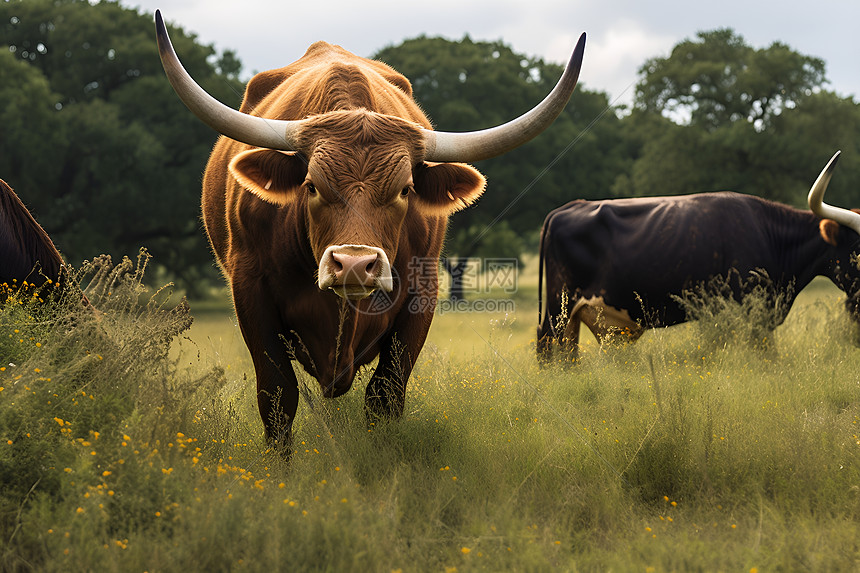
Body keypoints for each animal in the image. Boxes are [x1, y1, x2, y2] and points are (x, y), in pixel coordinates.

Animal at [153, 8, 584, 446]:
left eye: (405, 189)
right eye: (311, 185)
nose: (355, 265)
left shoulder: (422, 293)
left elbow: (385, 394)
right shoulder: (250, 291)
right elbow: (277, 397)